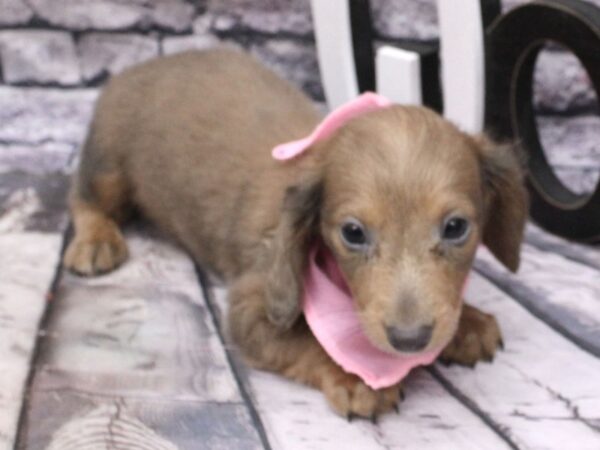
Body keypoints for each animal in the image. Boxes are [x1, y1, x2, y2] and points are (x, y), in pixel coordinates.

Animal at [63, 48, 528, 418]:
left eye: (456, 227)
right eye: (353, 233)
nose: (410, 341)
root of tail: (144, 65)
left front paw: (468, 322)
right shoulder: (253, 307)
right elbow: (306, 342)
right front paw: (354, 376)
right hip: (108, 167)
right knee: (82, 197)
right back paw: (96, 241)